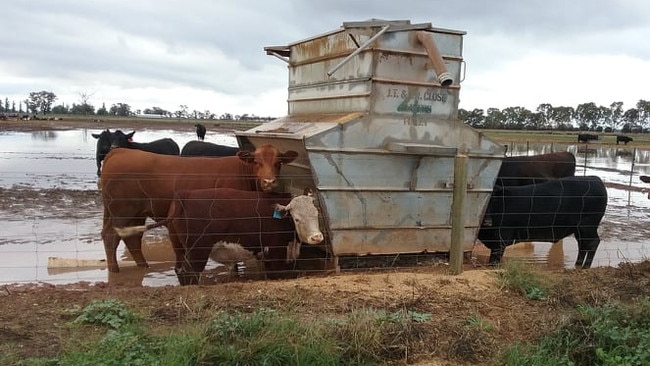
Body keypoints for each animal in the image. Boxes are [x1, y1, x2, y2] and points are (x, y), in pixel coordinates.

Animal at [100, 143, 298, 272]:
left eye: (278, 162)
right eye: (256, 162)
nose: (269, 181)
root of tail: (119, 151)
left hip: (134, 214)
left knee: (132, 239)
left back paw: (143, 267)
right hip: (122, 212)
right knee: (112, 237)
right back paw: (114, 270)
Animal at [114, 189, 324, 286]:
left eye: (316, 214)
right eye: (297, 219)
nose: (317, 237)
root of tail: (184, 196)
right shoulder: (274, 253)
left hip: (179, 247)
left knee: (179, 269)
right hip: (198, 251)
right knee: (189, 272)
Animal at [476, 176, 608, 270]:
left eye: (492, 201)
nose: (487, 221)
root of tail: (595, 179)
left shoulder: (500, 239)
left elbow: (494, 262)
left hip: (588, 225)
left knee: (592, 242)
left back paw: (586, 266)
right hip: (579, 229)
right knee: (583, 244)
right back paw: (578, 265)